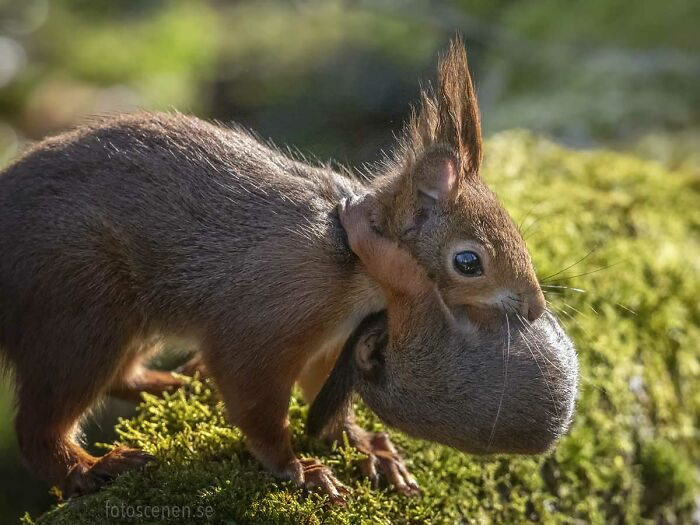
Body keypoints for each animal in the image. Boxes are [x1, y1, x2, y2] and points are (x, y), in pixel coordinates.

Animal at [1, 39, 576, 502]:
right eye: (468, 262)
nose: (534, 308)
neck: (353, 267)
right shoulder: (274, 312)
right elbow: (254, 398)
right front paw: (299, 468)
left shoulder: (332, 339)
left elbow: (322, 388)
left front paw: (367, 446)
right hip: (79, 306)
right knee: (41, 421)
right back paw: (87, 468)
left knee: (123, 377)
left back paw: (171, 384)